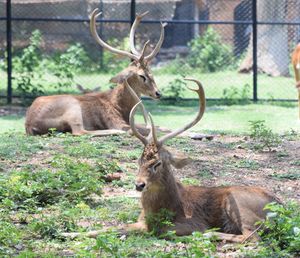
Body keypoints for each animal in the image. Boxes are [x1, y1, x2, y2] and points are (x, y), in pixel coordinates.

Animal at [25, 9, 166, 136]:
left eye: (151, 72)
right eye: (142, 75)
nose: (158, 93)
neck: (121, 108)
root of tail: (29, 125)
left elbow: (160, 127)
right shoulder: (115, 121)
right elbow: (150, 129)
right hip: (72, 106)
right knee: (79, 131)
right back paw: (115, 132)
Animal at [125, 77, 278, 243]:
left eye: (157, 163)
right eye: (139, 161)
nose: (139, 184)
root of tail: (282, 207)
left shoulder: (193, 222)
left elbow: (165, 230)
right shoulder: (140, 220)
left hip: (239, 204)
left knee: (252, 237)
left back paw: (211, 234)